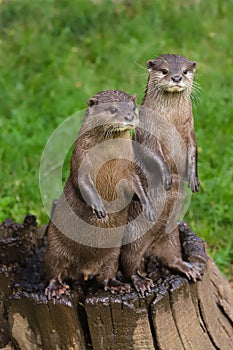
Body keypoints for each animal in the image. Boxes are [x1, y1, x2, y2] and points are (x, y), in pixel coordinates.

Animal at [45, 89, 169, 298]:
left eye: (132, 106)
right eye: (113, 109)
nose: (129, 116)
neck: (109, 158)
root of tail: (84, 271)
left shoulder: (129, 170)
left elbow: (138, 187)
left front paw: (149, 208)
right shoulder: (81, 163)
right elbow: (83, 184)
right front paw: (99, 207)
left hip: (113, 253)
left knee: (107, 274)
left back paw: (121, 284)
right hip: (54, 245)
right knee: (53, 269)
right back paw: (56, 287)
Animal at [121, 54, 203, 296]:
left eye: (185, 70)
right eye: (165, 70)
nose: (176, 77)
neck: (172, 122)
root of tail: (149, 249)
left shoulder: (191, 131)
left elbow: (193, 151)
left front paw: (194, 179)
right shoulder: (148, 130)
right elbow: (153, 153)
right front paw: (166, 176)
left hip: (171, 235)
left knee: (170, 257)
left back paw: (188, 267)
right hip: (132, 238)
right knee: (128, 265)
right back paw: (141, 281)